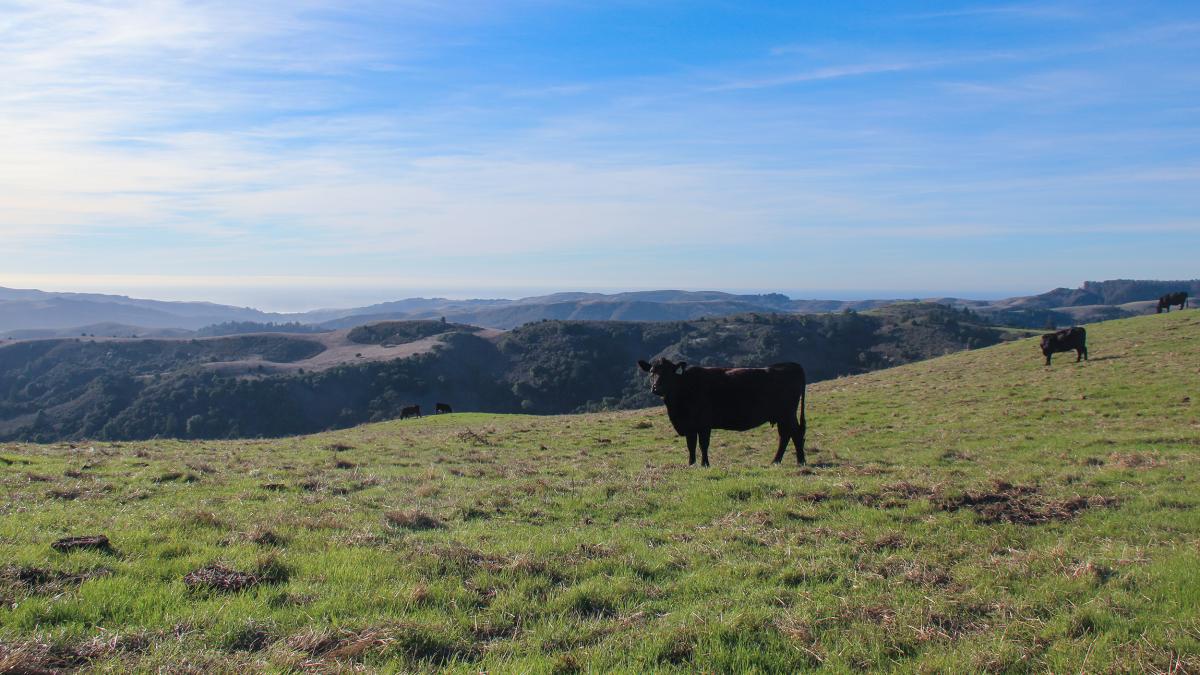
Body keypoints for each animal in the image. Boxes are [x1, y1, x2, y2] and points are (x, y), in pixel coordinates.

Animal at [638, 357, 806, 461]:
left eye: (669, 372)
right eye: (652, 372)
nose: (656, 388)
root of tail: (791, 365)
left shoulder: (704, 424)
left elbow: (703, 445)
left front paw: (705, 465)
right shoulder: (690, 426)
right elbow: (691, 446)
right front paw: (691, 464)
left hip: (787, 414)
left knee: (795, 434)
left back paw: (799, 461)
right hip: (782, 416)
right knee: (786, 435)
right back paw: (777, 461)